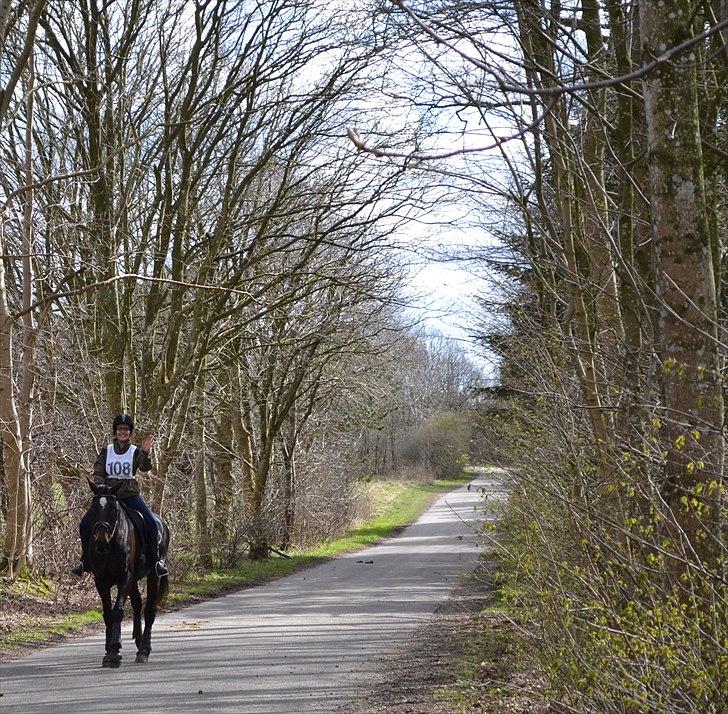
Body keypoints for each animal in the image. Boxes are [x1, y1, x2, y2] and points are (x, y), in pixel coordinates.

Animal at [85, 476, 171, 664]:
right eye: (94, 507)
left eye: (114, 508)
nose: (101, 540)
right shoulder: (100, 581)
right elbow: (107, 614)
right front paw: (108, 650)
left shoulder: (125, 577)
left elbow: (117, 611)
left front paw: (115, 652)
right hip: (133, 581)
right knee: (138, 604)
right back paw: (138, 641)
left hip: (153, 575)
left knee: (149, 610)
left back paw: (144, 650)